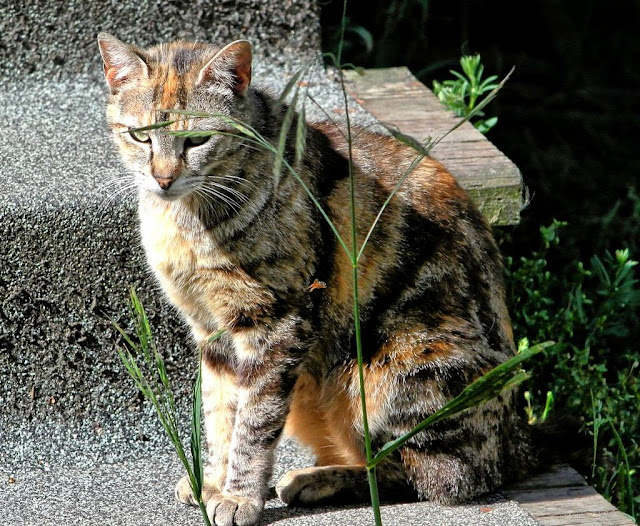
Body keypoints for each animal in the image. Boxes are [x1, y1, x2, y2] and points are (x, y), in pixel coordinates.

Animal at [97, 33, 532, 526]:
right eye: (141, 135)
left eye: (197, 139)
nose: (163, 178)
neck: (187, 222)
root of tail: (519, 444)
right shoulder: (212, 332)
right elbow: (220, 414)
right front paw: (213, 482)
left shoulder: (276, 324)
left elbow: (253, 422)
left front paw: (239, 496)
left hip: (392, 370)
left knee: (433, 474)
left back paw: (315, 480)